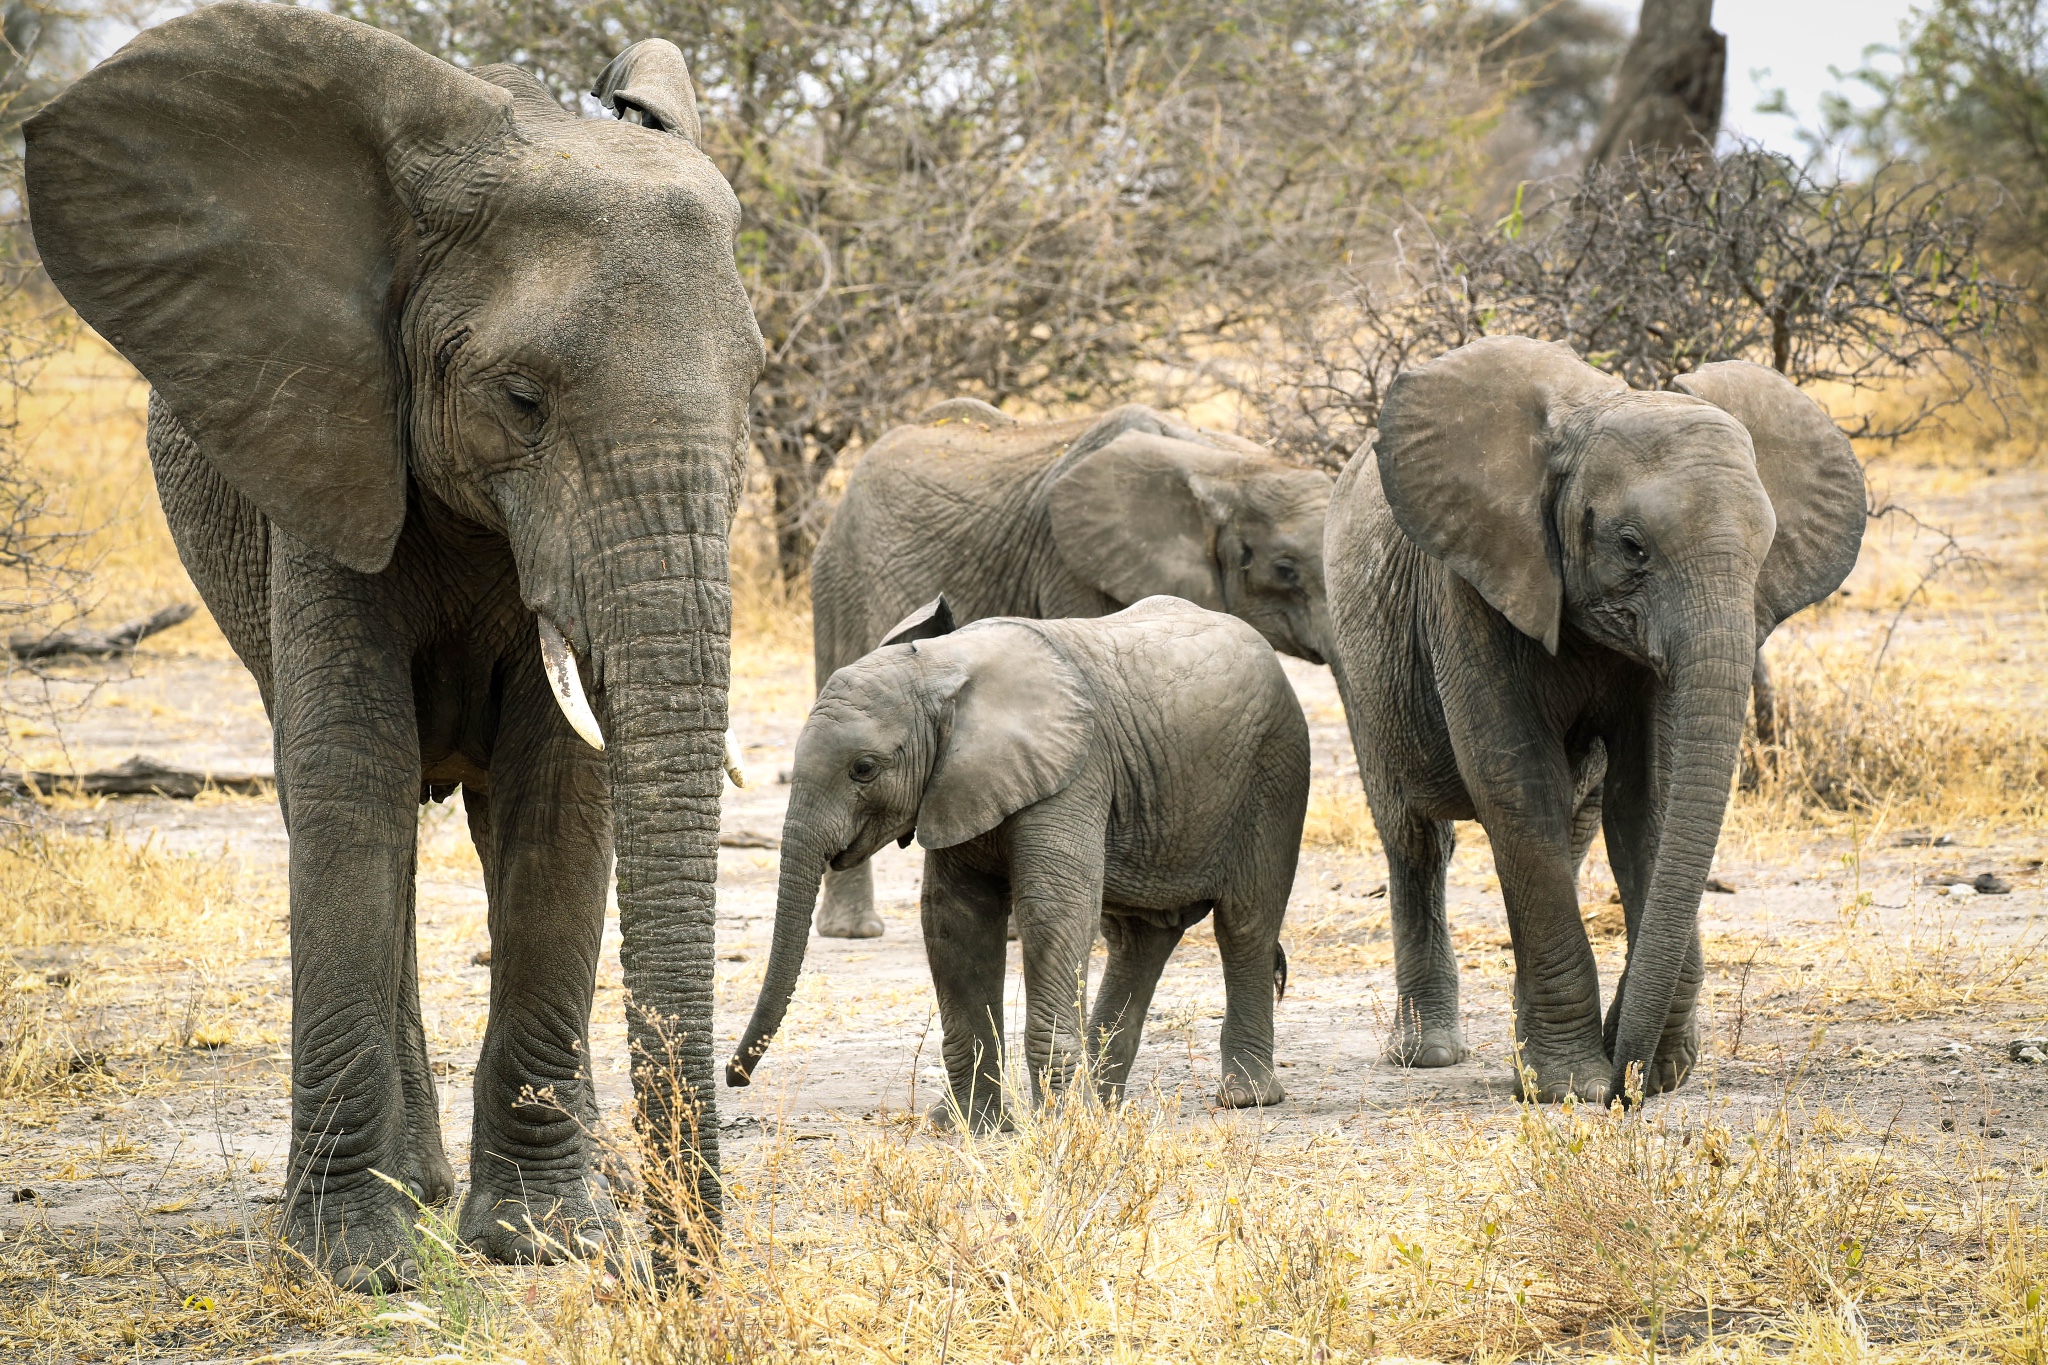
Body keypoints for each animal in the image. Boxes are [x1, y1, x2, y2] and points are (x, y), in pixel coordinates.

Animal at [29, 5, 770, 1293]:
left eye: (756, 384)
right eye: (521, 400)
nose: (672, 1277)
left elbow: (557, 803)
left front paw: (544, 1242)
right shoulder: (322, 440)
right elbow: (350, 777)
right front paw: (353, 1264)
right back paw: (411, 1188)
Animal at [729, 593, 1310, 1129]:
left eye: (864, 769)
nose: (736, 1077)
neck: (942, 669)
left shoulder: (1074, 773)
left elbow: (1052, 913)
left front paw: (1058, 1126)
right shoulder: (954, 785)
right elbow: (955, 921)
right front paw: (970, 1126)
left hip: (1275, 772)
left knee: (1245, 924)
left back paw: (1242, 1098)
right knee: (1139, 938)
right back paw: (1104, 1106)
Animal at [1327, 335, 1875, 1105]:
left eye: (1766, 549)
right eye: (1632, 546)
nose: (1627, 1083)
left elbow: (1649, 798)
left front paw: (1646, 1070)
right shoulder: (1467, 587)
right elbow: (1515, 785)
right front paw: (1569, 1084)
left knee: (1575, 825)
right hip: (1358, 659)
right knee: (1414, 837)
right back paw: (1427, 1052)